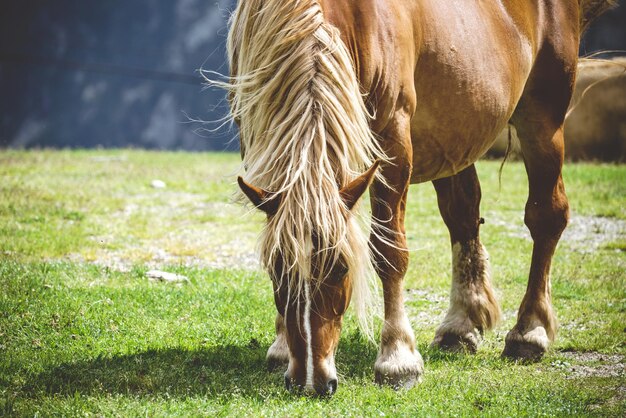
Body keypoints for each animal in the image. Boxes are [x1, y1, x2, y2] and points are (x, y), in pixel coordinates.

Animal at [219, 0, 616, 396]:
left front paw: (397, 358)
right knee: (464, 216)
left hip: (542, 119)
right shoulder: (257, 137)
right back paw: (460, 326)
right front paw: (282, 347)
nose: (312, 382)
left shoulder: (393, 139)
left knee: (546, 216)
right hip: (456, 130)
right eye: (275, 270)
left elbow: (389, 252)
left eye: (343, 268)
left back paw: (529, 332)